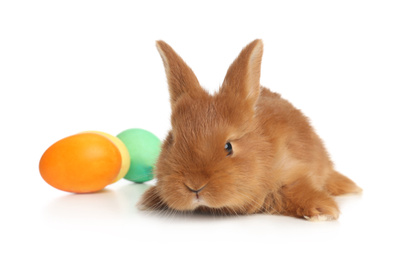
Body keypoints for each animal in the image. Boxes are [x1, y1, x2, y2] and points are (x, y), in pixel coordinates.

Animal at [139, 39, 362, 221]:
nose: (195, 185)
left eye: (228, 147)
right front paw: (147, 200)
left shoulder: (293, 170)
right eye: (173, 141)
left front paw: (323, 211)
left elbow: (297, 188)